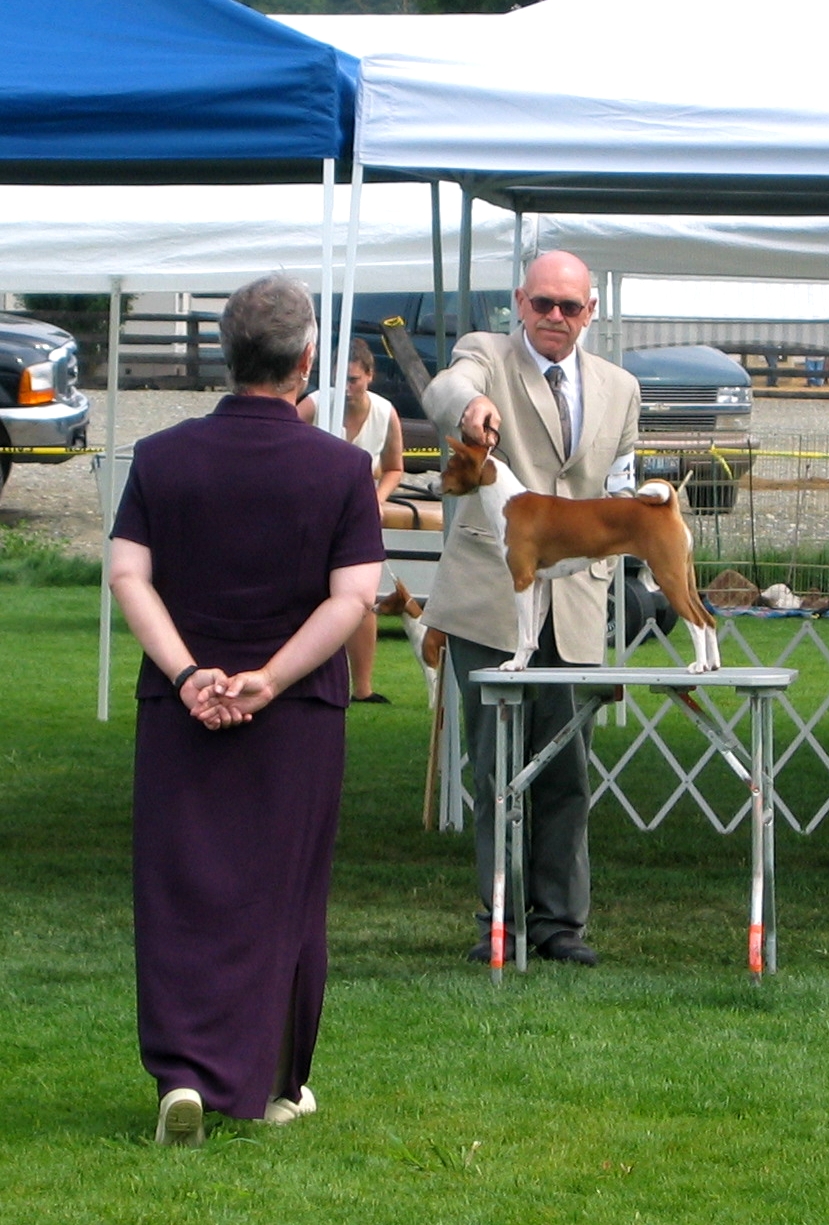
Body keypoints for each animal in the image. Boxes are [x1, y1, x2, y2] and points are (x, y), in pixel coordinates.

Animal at [375, 576, 446, 707]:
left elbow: (432, 688)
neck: (418, 627)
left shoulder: (430, 664)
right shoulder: (424, 665)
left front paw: (431, 707)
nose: (372, 607)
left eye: (388, 600)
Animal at [440, 436, 720, 675]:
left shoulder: (521, 579)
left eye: (450, 467)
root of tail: (669, 507)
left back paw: (699, 666)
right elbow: (531, 635)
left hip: (668, 575)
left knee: (697, 621)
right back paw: (713, 664)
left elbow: (522, 631)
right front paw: (524, 662)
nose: (434, 484)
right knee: (708, 619)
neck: (507, 502)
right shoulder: (536, 581)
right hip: (685, 577)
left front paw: (515, 664)